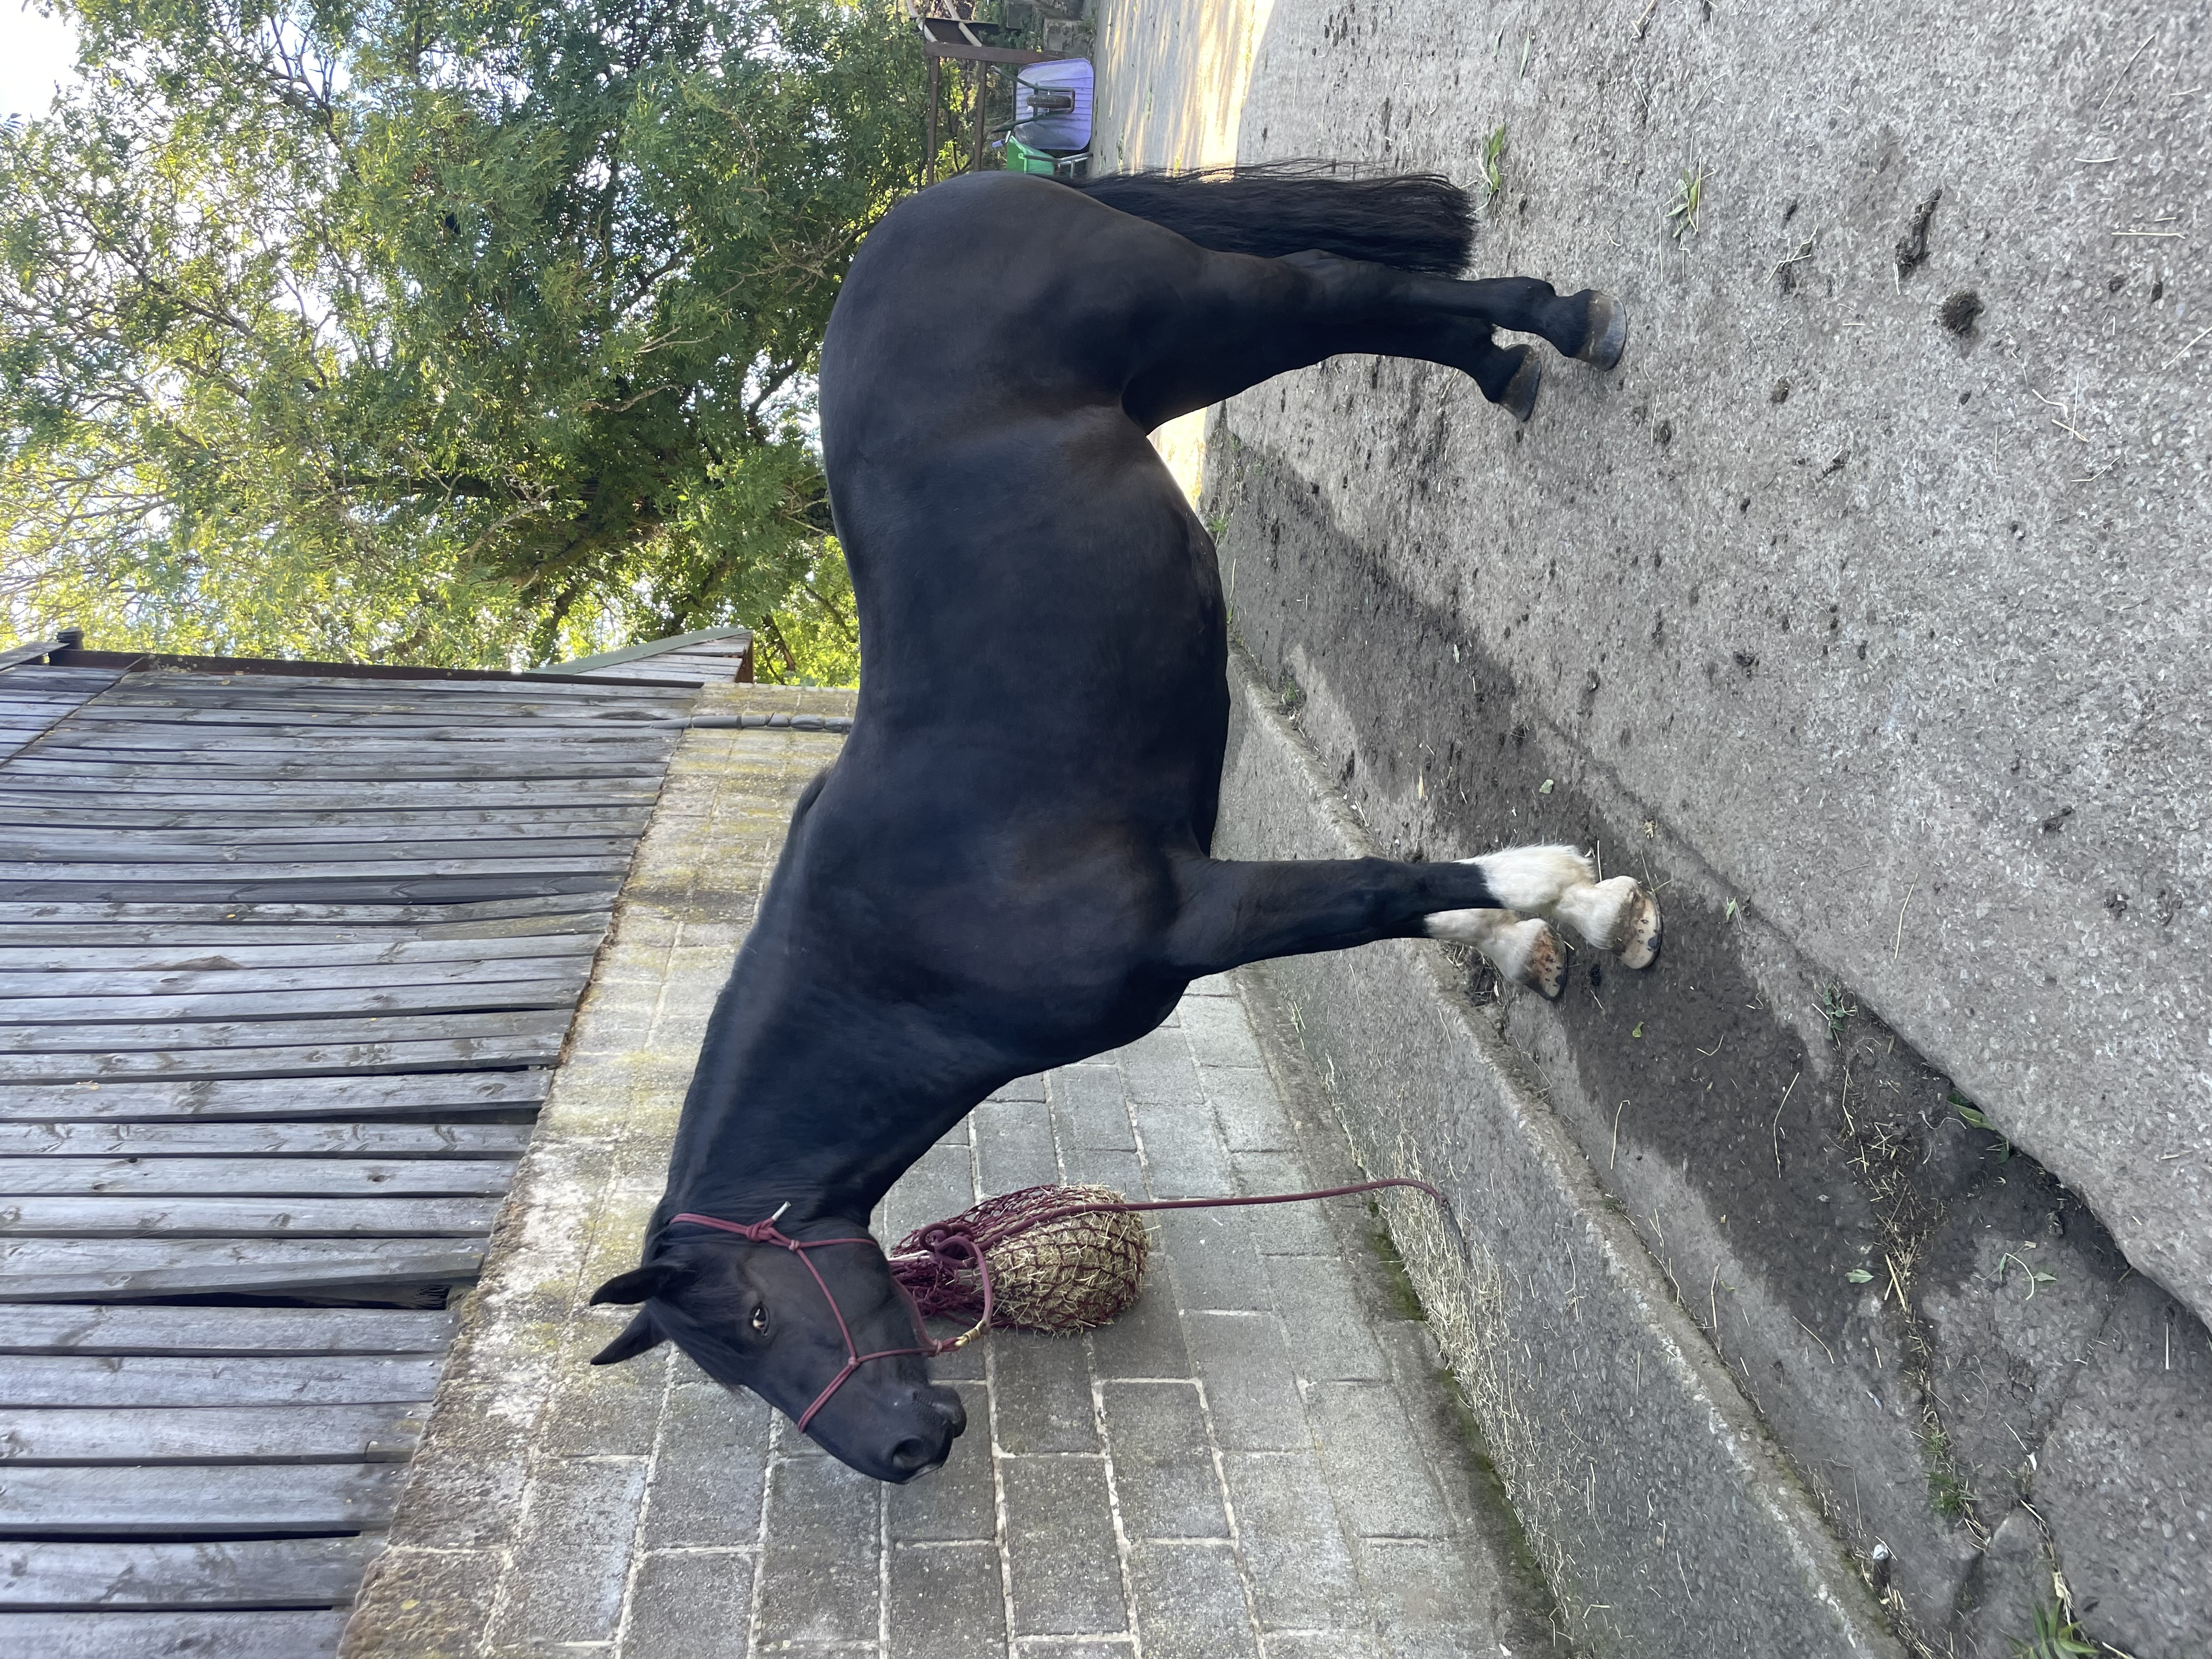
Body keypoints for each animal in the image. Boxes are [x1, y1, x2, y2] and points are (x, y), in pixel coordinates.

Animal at [586, 165, 1661, 1483]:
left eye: (751, 1316)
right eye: (736, 1365)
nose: (904, 1448)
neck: (907, 945)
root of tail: (937, 203)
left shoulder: (1198, 914)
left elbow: (1384, 889)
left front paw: (1582, 897)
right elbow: (1417, 911)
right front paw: (1536, 940)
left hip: (1213, 315)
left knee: (1341, 291)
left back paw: (1560, 325)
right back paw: (1506, 369)